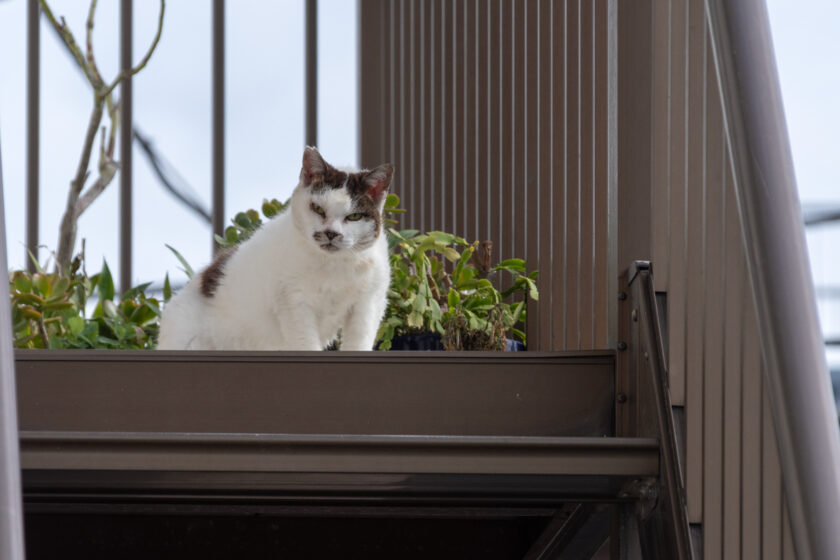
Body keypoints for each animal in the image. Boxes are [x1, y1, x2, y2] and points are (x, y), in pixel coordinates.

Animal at [158, 149, 394, 350]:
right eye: (317, 209)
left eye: (354, 216)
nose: (331, 233)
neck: (335, 266)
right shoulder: (295, 306)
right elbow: (306, 344)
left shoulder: (369, 304)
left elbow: (359, 342)